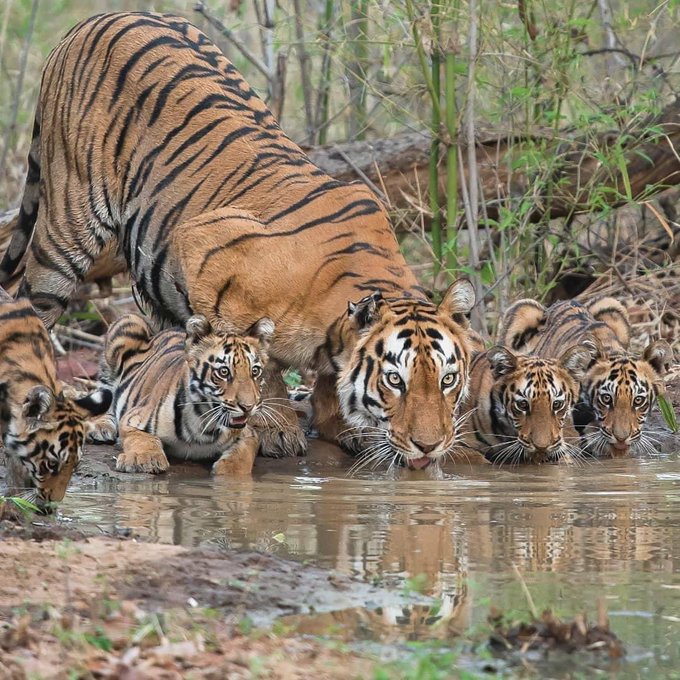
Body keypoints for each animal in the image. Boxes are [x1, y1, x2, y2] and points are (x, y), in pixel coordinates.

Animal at [93, 313, 274, 476]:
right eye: (224, 372)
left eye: (255, 371)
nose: (248, 407)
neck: (205, 423)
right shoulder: (132, 419)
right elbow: (143, 439)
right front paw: (143, 459)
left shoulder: (249, 433)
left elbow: (243, 454)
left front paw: (229, 472)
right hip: (128, 323)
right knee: (105, 391)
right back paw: (101, 427)